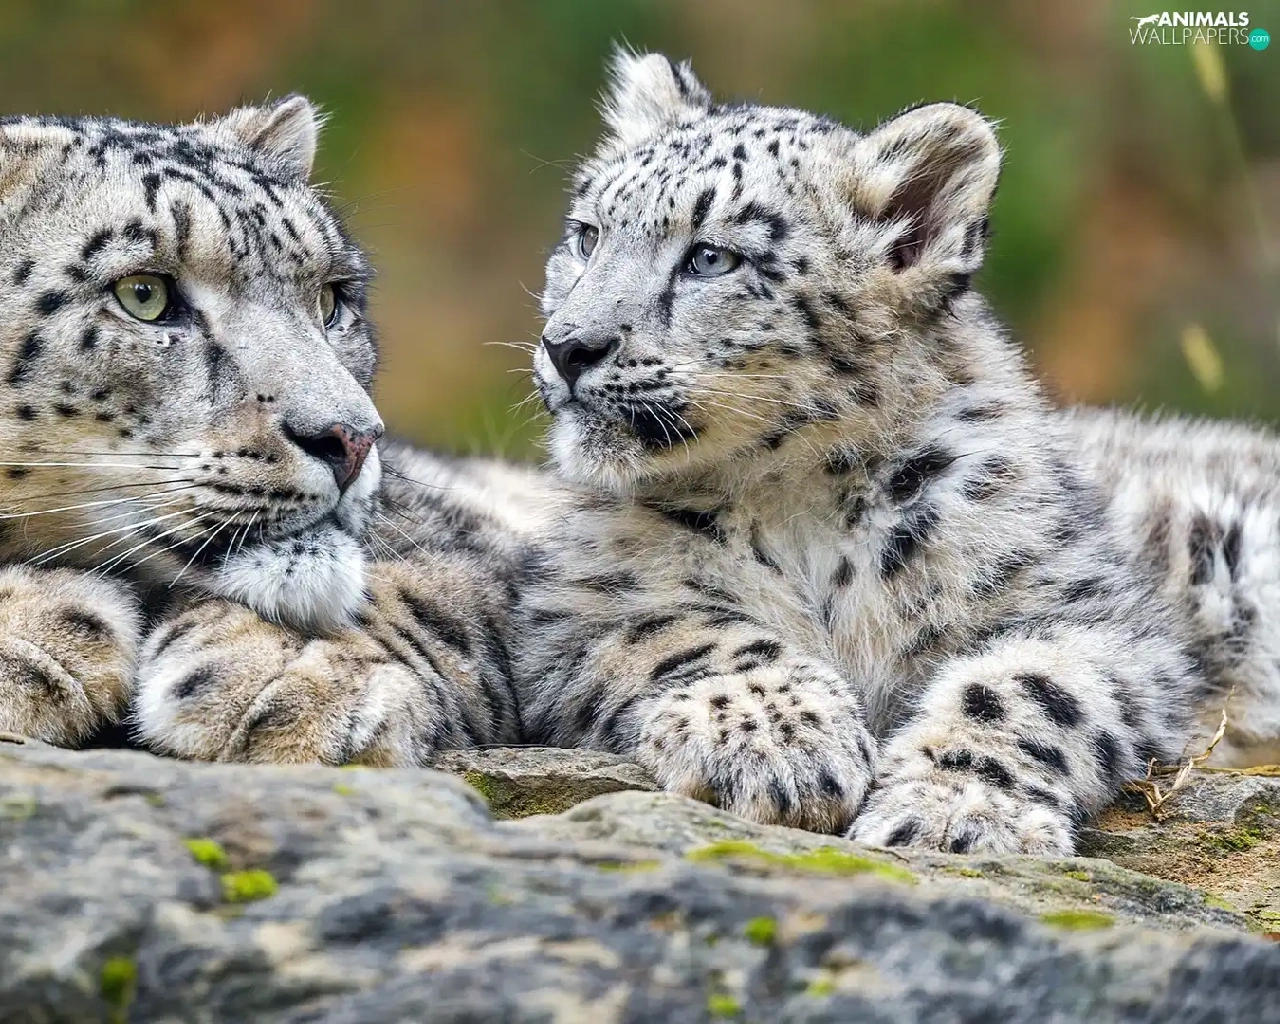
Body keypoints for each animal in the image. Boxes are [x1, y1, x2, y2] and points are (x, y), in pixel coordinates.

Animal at [509, 50, 1280, 854]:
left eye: (711, 258)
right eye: (587, 235)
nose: (567, 345)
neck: (797, 500)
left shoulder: (1096, 616)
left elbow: (1028, 686)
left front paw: (954, 813)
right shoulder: (582, 602)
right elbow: (688, 630)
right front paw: (775, 741)